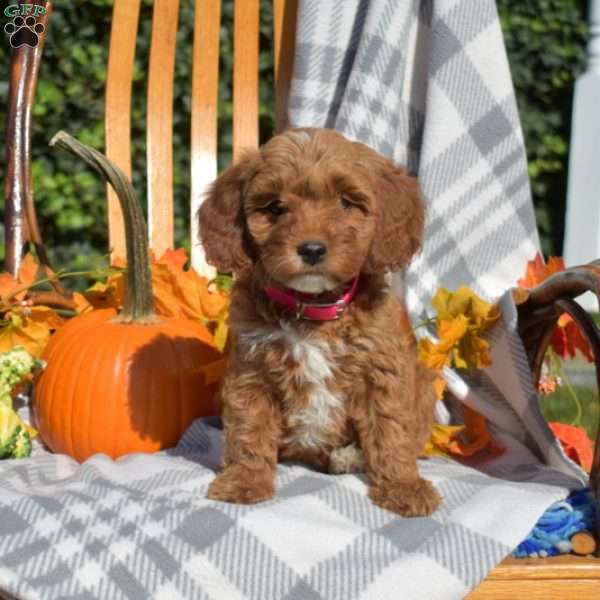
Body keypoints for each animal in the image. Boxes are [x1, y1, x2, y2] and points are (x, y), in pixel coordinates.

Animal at [199, 127, 438, 516]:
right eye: (275, 207)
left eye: (345, 202)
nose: (311, 249)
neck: (312, 308)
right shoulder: (251, 373)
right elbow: (249, 429)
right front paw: (245, 481)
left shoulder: (382, 371)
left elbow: (391, 429)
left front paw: (403, 487)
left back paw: (349, 457)